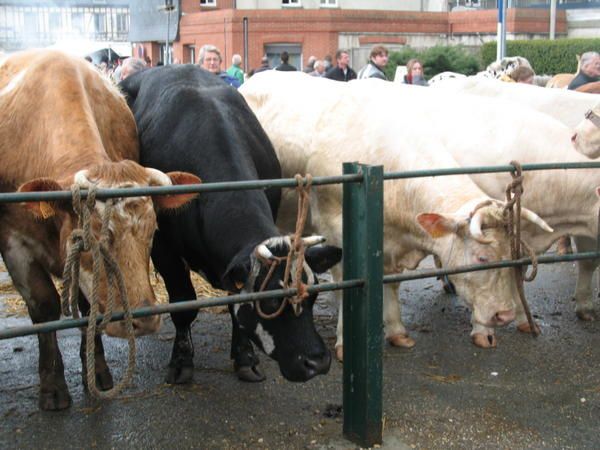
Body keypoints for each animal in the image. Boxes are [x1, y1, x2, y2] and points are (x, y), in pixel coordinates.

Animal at [0, 50, 200, 412]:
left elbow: (88, 305)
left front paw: (98, 370)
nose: (142, 319)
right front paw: (52, 386)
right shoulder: (14, 242)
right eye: (92, 238)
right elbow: (44, 307)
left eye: (153, 231)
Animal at [120, 66, 342, 384]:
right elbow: (183, 304)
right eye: (270, 303)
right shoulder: (164, 249)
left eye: (313, 296)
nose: (317, 362)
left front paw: (245, 357)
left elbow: (235, 304)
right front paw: (181, 361)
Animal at [239, 71, 552, 358]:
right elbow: (343, 288)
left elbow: (391, 284)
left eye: (513, 256)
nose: (505, 316)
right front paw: (344, 343)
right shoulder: (336, 233)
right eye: (482, 258)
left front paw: (397, 331)